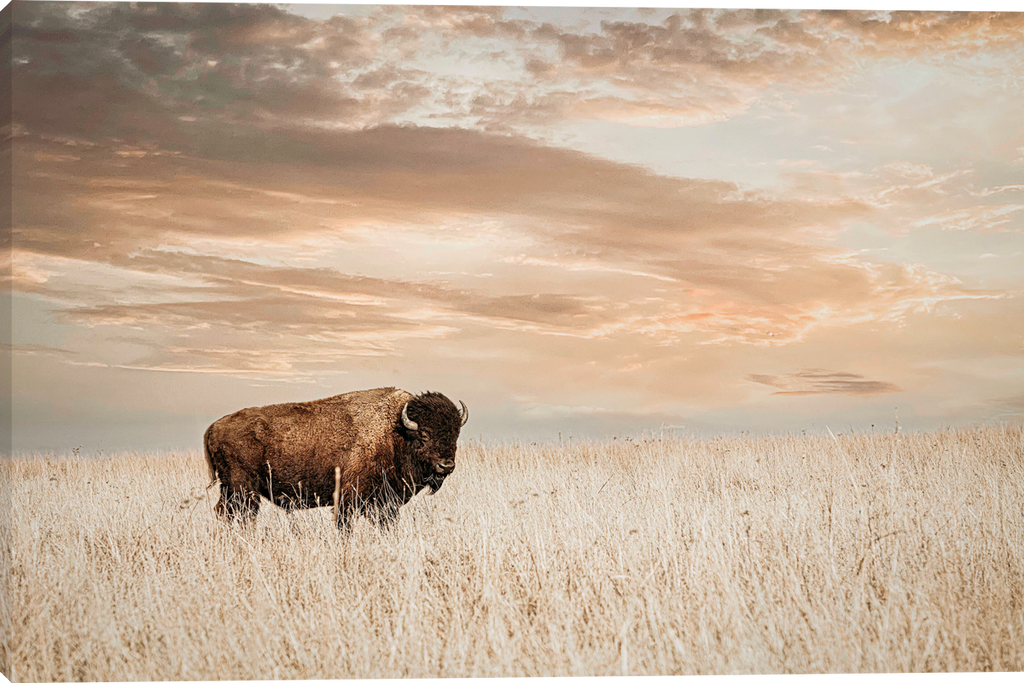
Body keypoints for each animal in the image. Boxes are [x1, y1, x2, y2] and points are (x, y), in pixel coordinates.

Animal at [204, 387, 468, 531]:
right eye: (424, 435)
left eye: (455, 433)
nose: (446, 465)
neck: (396, 432)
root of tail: (214, 427)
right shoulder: (350, 497)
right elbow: (345, 526)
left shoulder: (384, 503)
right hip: (242, 489)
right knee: (241, 514)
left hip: (231, 490)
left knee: (225, 513)